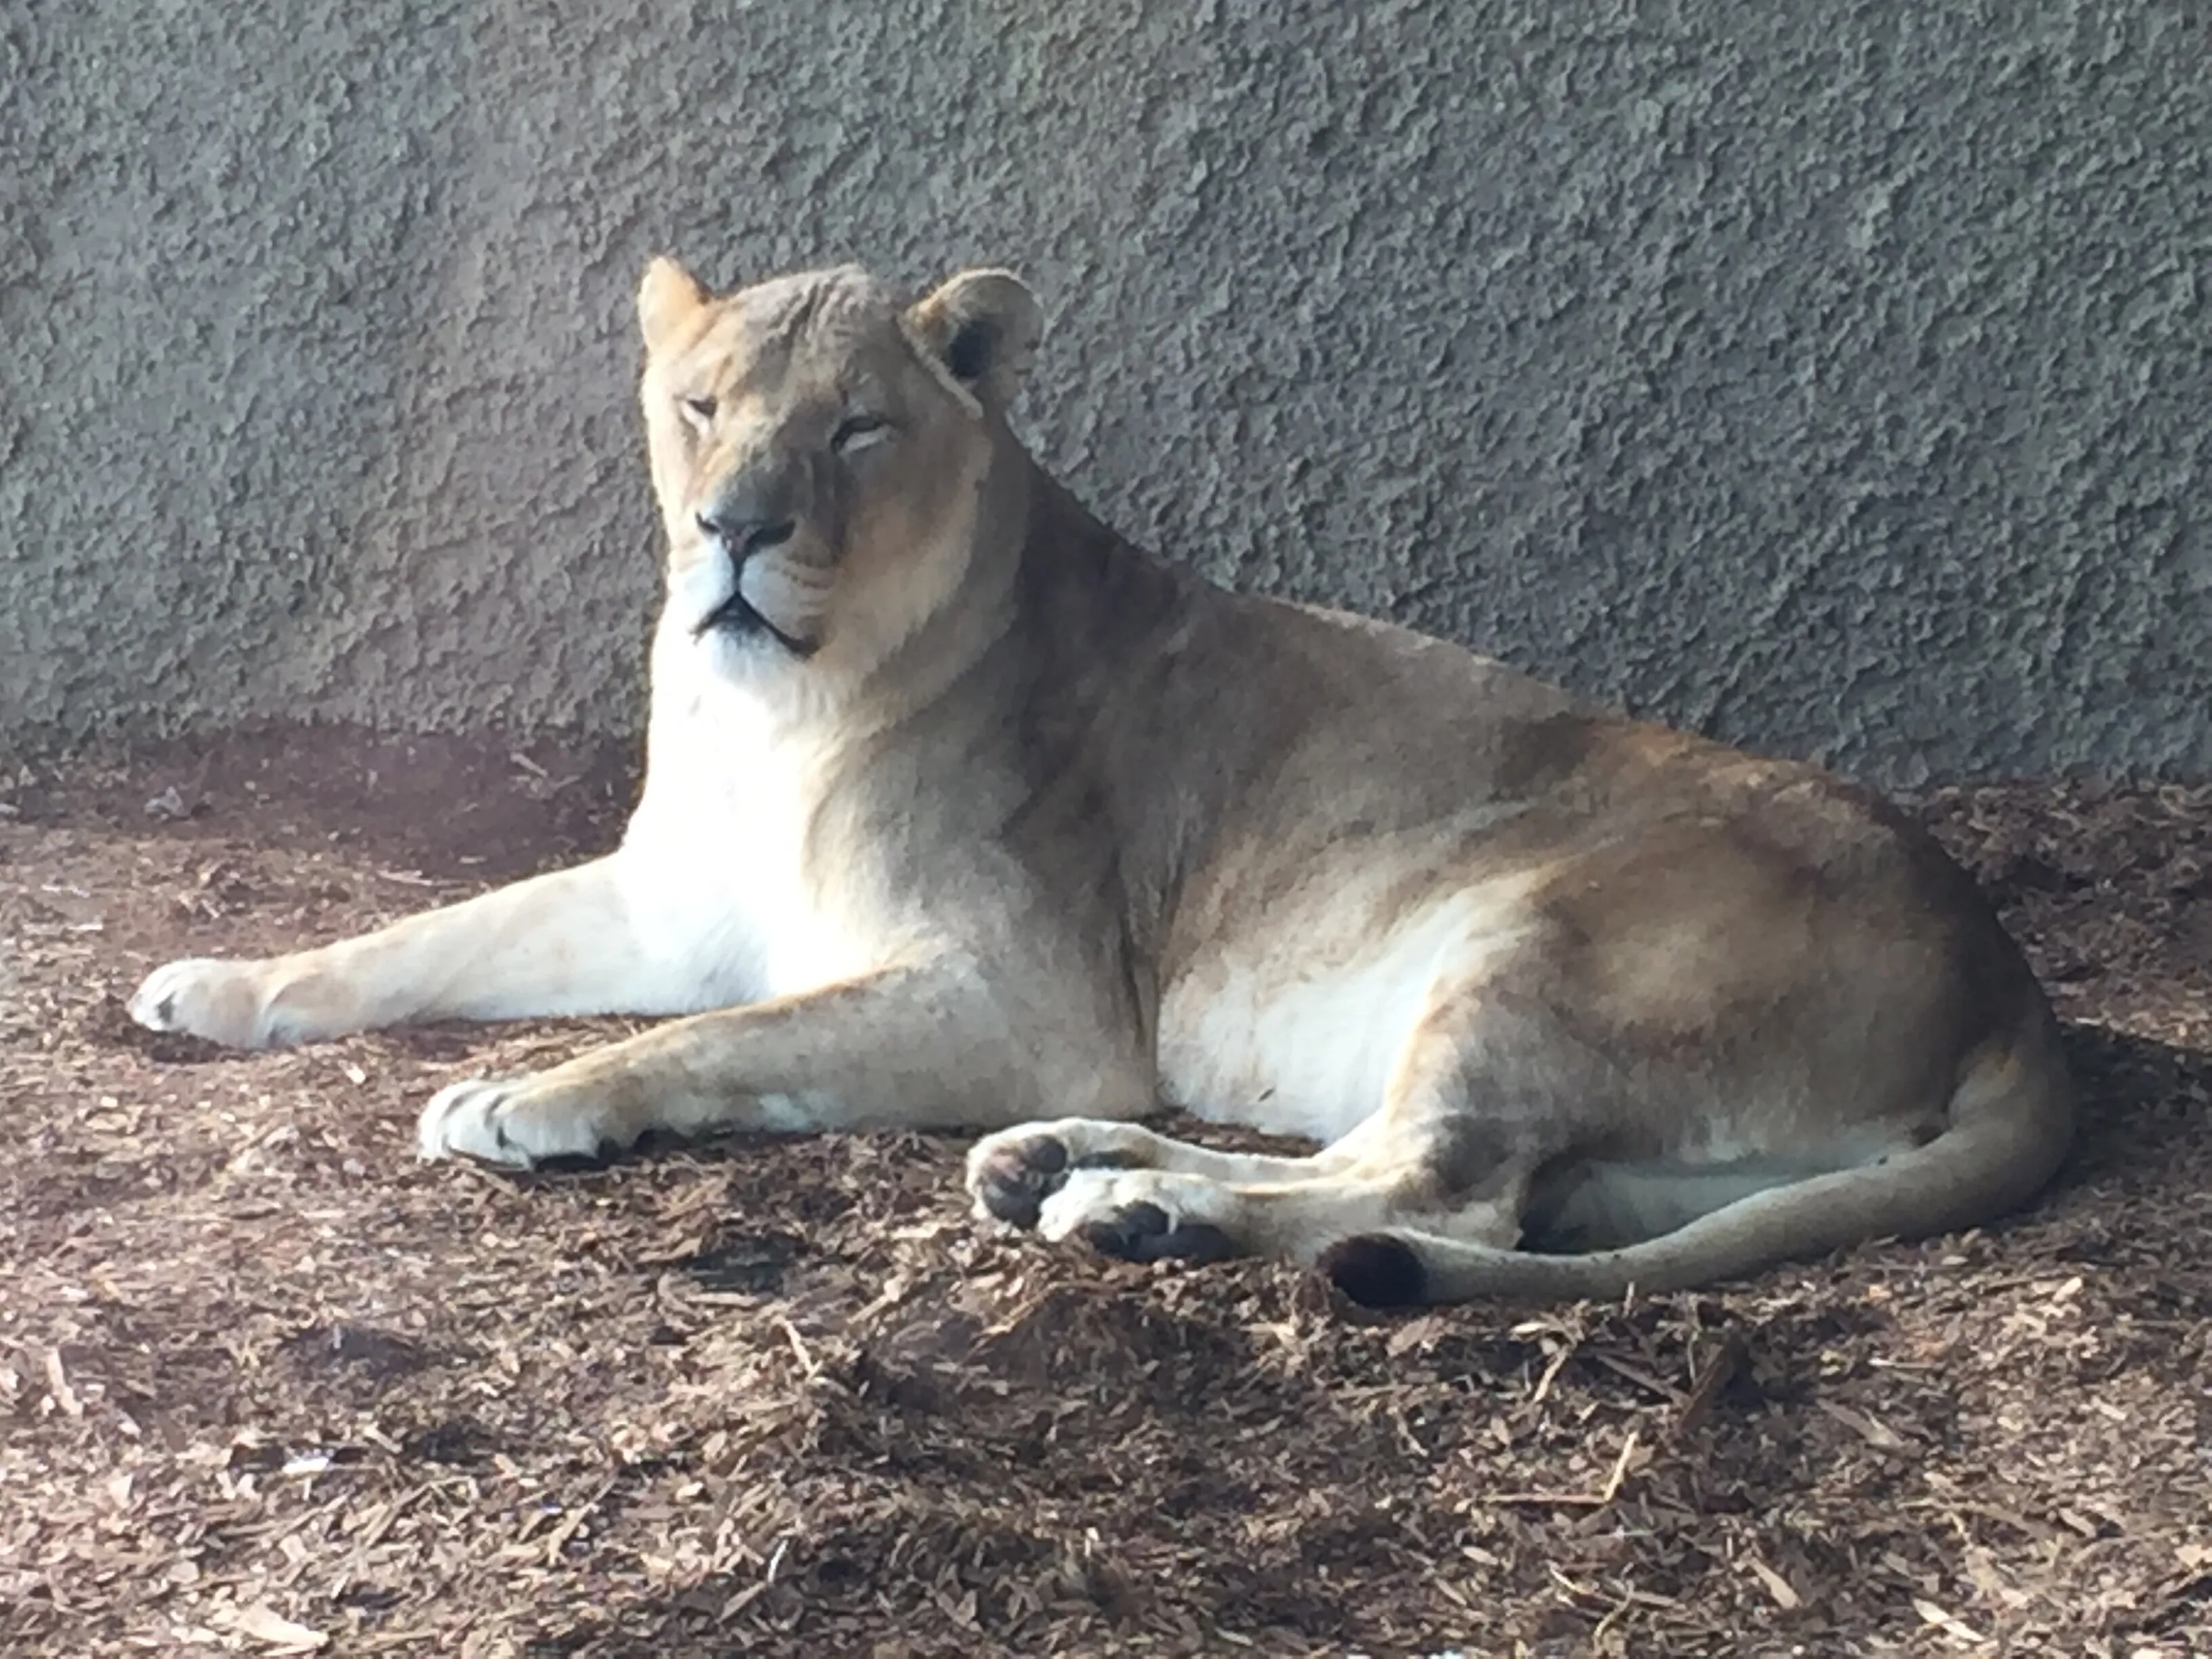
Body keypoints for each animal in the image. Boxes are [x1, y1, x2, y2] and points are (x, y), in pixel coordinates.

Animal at [130, 257, 2074, 1305]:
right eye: (698, 406)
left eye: (855, 429)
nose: (732, 530)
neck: (777, 709)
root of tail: (2017, 985)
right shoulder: (670, 896)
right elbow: (419, 935)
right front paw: (216, 987)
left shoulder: (1021, 989)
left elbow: (725, 1040)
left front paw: (527, 1097)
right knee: (1450, 1175)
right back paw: (1069, 1168)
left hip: (1539, 945)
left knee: (1440, 1188)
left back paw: (1136, 1203)